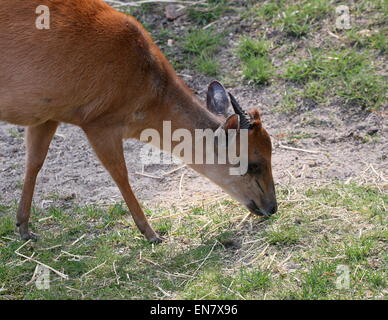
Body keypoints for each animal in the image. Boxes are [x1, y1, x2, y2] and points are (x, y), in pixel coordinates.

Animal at [1, 0, 278, 241]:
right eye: (253, 163)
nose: (272, 207)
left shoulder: (48, 113)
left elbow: (34, 162)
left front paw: (23, 227)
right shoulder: (99, 122)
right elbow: (121, 175)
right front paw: (151, 233)